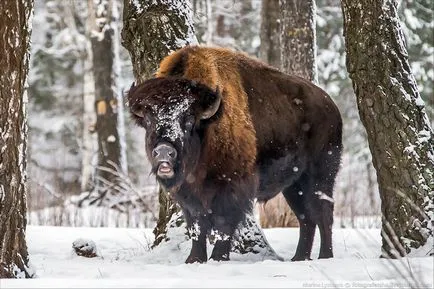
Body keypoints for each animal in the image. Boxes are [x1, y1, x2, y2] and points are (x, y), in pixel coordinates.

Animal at [127, 45, 344, 264]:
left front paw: (217, 258)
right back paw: (299, 258)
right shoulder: (188, 195)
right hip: (293, 184)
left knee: (323, 214)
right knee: (305, 217)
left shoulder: (231, 187)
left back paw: (325, 256)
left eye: (188, 118)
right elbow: (197, 226)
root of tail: (332, 107)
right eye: (149, 119)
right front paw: (194, 260)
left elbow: (223, 225)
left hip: (320, 176)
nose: (164, 151)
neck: (208, 125)